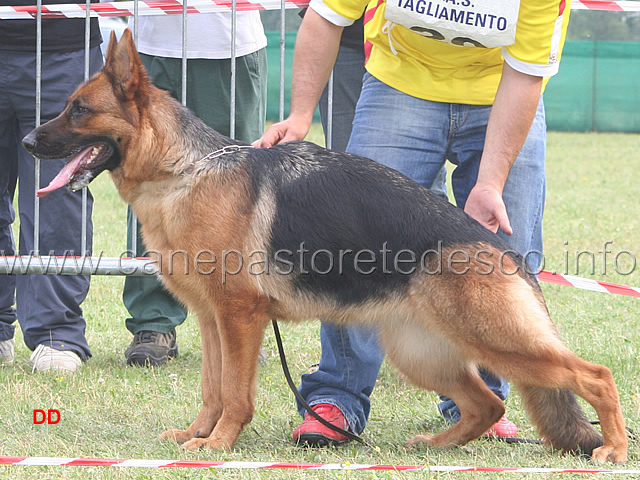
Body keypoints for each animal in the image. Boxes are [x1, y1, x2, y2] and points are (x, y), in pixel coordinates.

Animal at [22, 29, 628, 462]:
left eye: (78, 109)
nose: (27, 141)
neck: (184, 170)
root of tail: (503, 251)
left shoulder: (240, 317)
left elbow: (235, 394)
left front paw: (218, 445)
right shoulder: (213, 319)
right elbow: (212, 389)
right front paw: (199, 436)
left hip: (496, 339)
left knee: (592, 376)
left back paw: (615, 449)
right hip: (421, 351)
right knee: (487, 401)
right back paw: (435, 446)